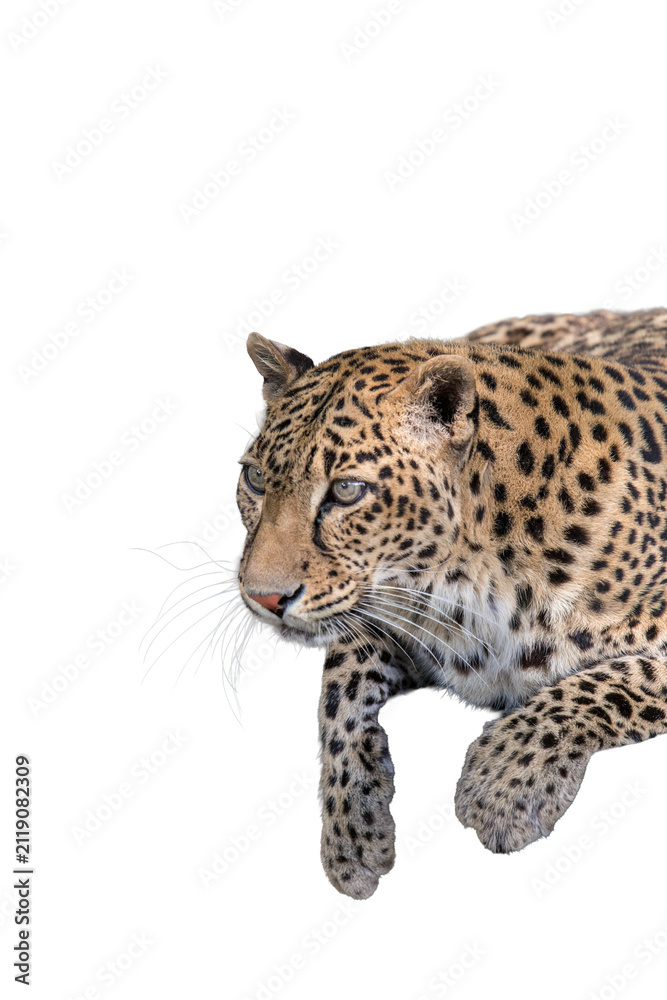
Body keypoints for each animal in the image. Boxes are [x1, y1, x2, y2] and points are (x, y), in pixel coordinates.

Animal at [234, 307, 667, 899]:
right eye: (255, 479)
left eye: (347, 490)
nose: (263, 597)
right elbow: (337, 702)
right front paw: (353, 835)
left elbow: (602, 684)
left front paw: (503, 785)